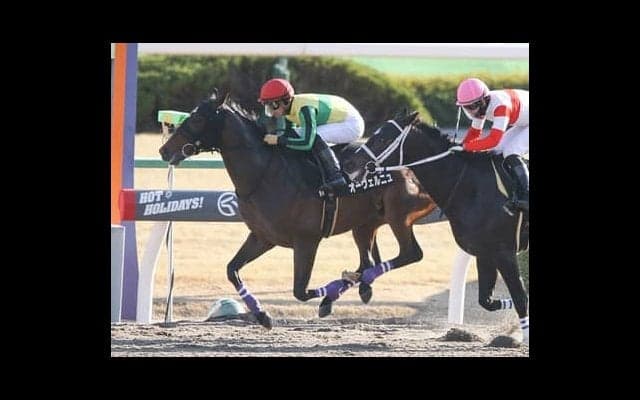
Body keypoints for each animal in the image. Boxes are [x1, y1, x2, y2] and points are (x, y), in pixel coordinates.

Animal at [158, 91, 437, 329]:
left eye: (198, 119)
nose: (164, 150)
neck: (265, 174)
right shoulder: (262, 237)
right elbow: (232, 269)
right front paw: (261, 314)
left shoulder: (306, 241)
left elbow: (300, 292)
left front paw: (330, 293)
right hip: (365, 223)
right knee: (368, 262)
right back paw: (359, 288)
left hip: (398, 216)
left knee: (406, 254)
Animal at [342, 111, 530, 344]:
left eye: (383, 138)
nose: (349, 164)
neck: (471, 186)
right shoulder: (484, 252)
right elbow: (488, 301)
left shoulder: (504, 251)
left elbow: (520, 297)